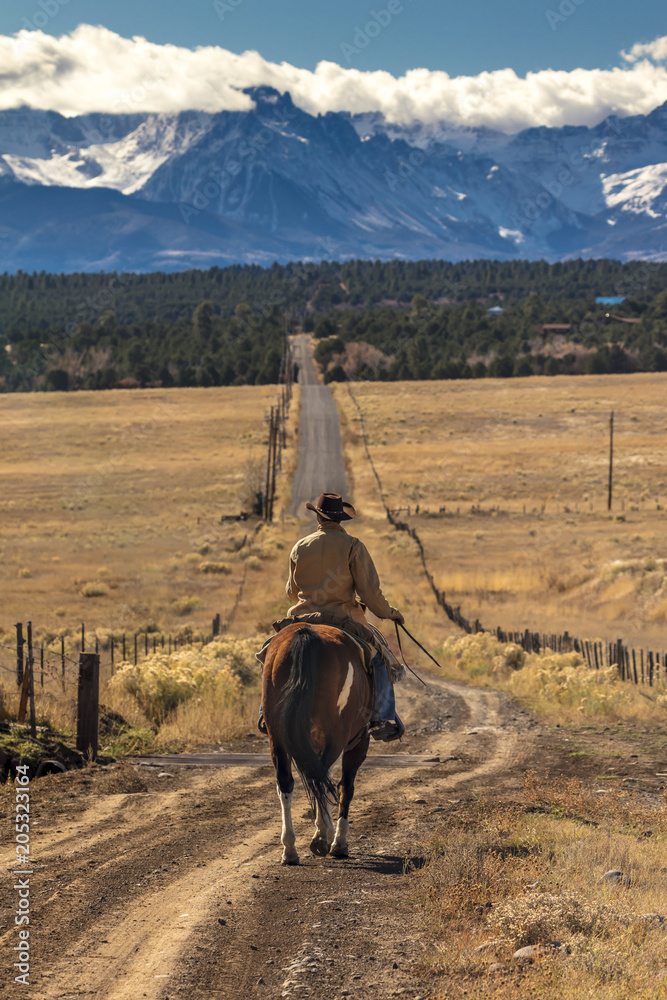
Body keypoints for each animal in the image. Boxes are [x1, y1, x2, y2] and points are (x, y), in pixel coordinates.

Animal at [262, 620, 376, 864]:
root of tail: (306, 634)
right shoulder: (358, 742)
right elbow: (345, 786)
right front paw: (338, 841)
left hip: (277, 736)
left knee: (286, 783)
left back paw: (290, 849)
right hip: (338, 735)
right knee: (321, 780)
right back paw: (322, 839)